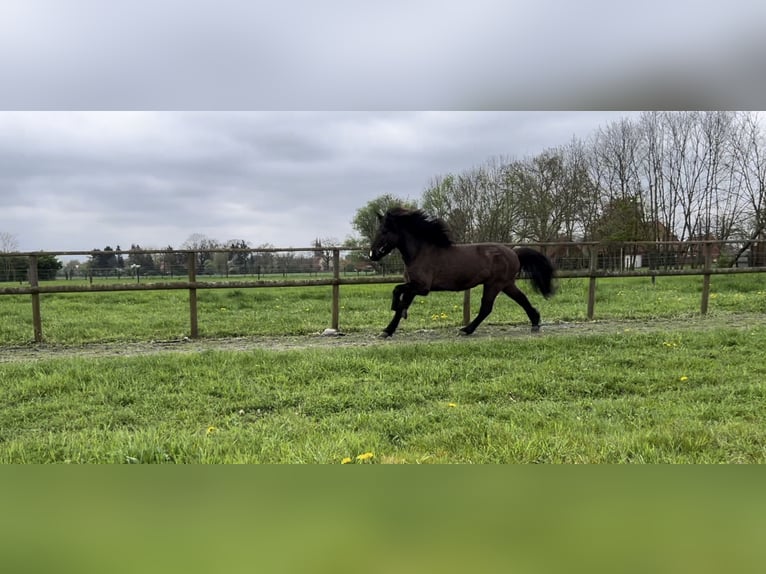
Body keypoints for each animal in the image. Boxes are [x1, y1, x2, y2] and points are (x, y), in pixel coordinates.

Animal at [368, 208, 556, 338]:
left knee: (486, 308)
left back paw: (466, 330)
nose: (372, 254)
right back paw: (535, 323)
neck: (420, 253)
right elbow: (401, 305)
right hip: (506, 284)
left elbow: (396, 291)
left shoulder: (421, 287)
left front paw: (394, 309)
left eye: (384, 231)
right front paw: (387, 330)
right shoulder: (413, 287)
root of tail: (514, 252)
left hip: (494, 284)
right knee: (522, 299)